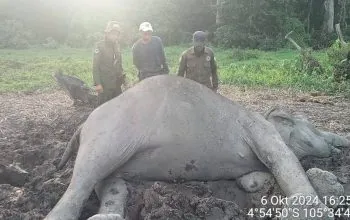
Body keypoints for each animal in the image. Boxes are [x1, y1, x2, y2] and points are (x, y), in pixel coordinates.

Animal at [45, 75, 348, 219]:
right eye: (309, 126)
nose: (337, 148)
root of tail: (82, 126)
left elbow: (251, 178)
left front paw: (255, 183)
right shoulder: (261, 130)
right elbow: (282, 157)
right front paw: (315, 214)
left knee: (108, 181)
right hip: (110, 135)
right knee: (86, 177)